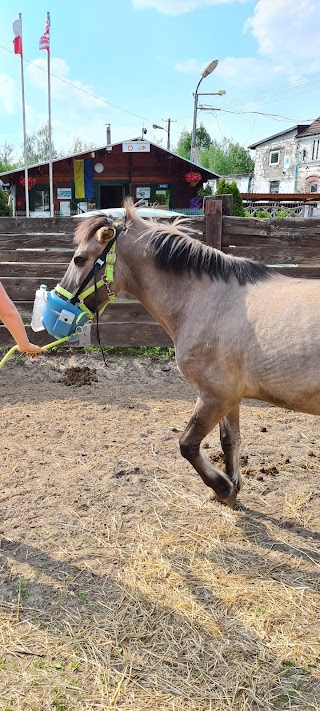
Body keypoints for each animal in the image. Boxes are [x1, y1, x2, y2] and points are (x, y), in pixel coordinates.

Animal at [58, 197, 320, 508]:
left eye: (79, 259)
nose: (60, 298)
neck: (209, 300)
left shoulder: (214, 396)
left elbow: (187, 444)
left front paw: (223, 488)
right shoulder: (232, 397)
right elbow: (230, 440)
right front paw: (231, 487)